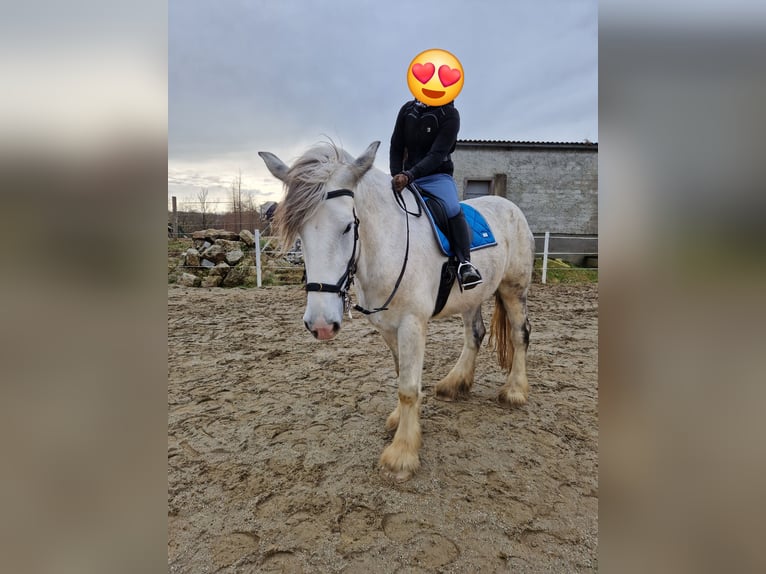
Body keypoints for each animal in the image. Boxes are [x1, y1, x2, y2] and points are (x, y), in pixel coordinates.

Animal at [260, 143, 536, 482]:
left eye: (348, 226)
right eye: (299, 230)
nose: (321, 325)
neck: (387, 246)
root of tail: (510, 207)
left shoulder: (412, 324)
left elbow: (407, 387)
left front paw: (402, 453)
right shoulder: (387, 327)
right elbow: (400, 376)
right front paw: (399, 422)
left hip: (513, 289)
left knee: (520, 334)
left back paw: (515, 391)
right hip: (472, 297)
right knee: (475, 335)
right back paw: (455, 384)